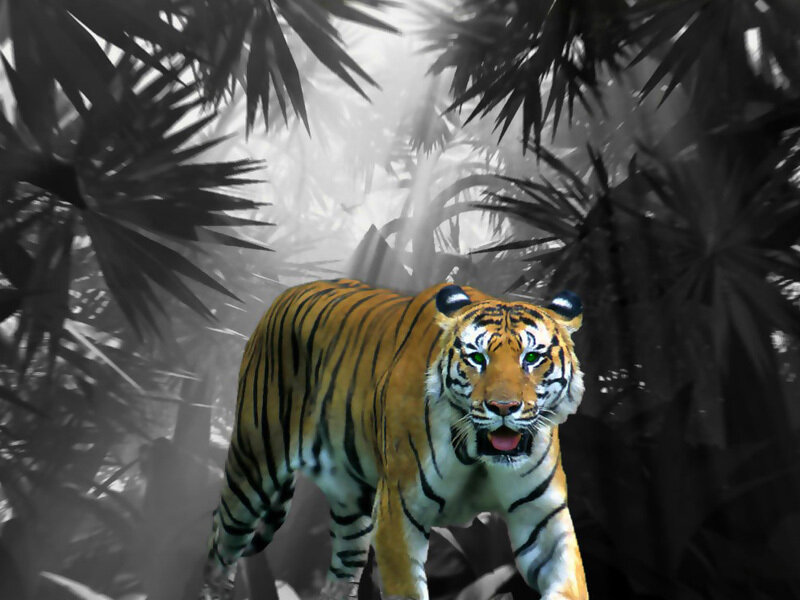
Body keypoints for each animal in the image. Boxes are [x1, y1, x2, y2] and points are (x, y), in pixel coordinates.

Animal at [200, 278, 588, 600]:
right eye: (477, 358)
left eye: (532, 357)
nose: (503, 407)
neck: (478, 456)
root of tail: (286, 292)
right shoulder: (399, 512)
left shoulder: (543, 519)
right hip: (253, 467)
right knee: (220, 544)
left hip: (351, 505)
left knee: (341, 573)